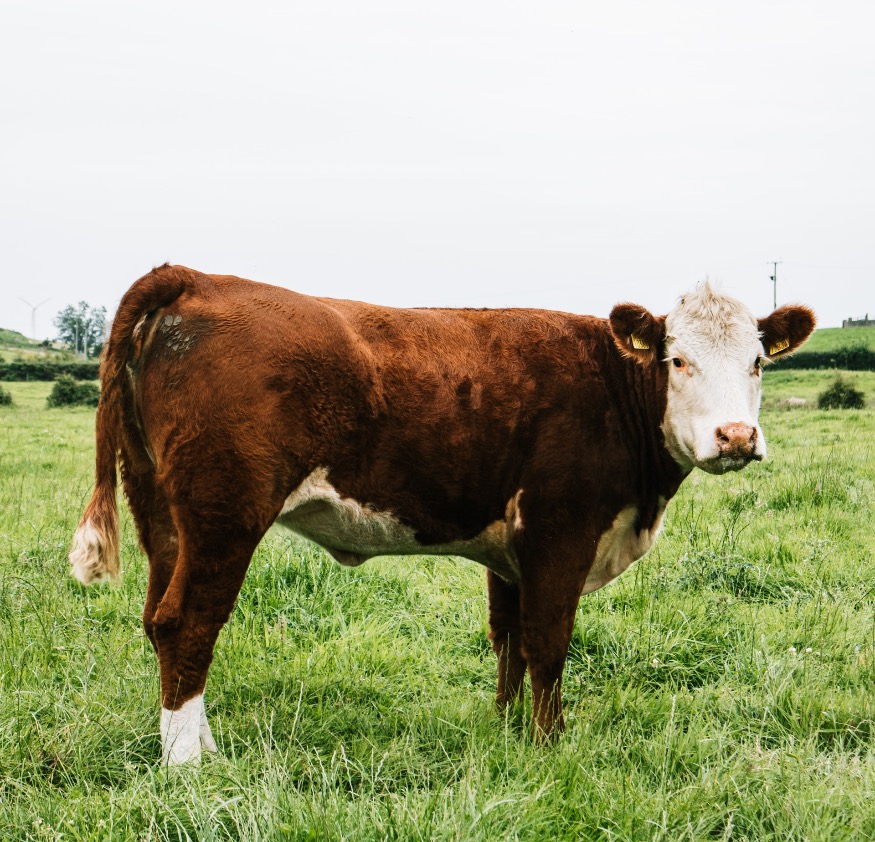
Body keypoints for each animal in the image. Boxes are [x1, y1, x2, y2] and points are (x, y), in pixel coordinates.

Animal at [69, 264, 815, 764]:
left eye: (757, 362)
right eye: (676, 360)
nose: (736, 438)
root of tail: (196, 278)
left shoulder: (510, 550)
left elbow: (508, 639)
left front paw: (508, 730)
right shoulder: (560, 529)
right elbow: (549, 642)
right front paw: (550, 745)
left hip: (161, 510)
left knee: (157, 619)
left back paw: (199, 744)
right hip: (224, 511)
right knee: (187, 623)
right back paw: (188, 764)